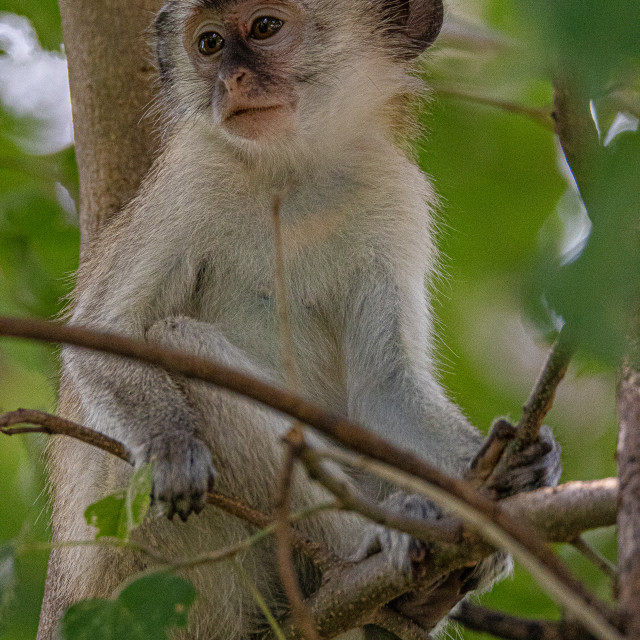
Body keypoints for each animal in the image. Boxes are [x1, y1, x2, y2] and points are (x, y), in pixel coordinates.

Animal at [38, 0, 560, 636]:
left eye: (265, 27)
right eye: (209, 43)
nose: (231, 79)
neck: (292, 171)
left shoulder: (393, 196)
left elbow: (385, 387)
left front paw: (509, 464)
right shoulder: (193, 176)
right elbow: (104, 337)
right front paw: (170, 444)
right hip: (149, 561)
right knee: (182, 344)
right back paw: (375, 556)